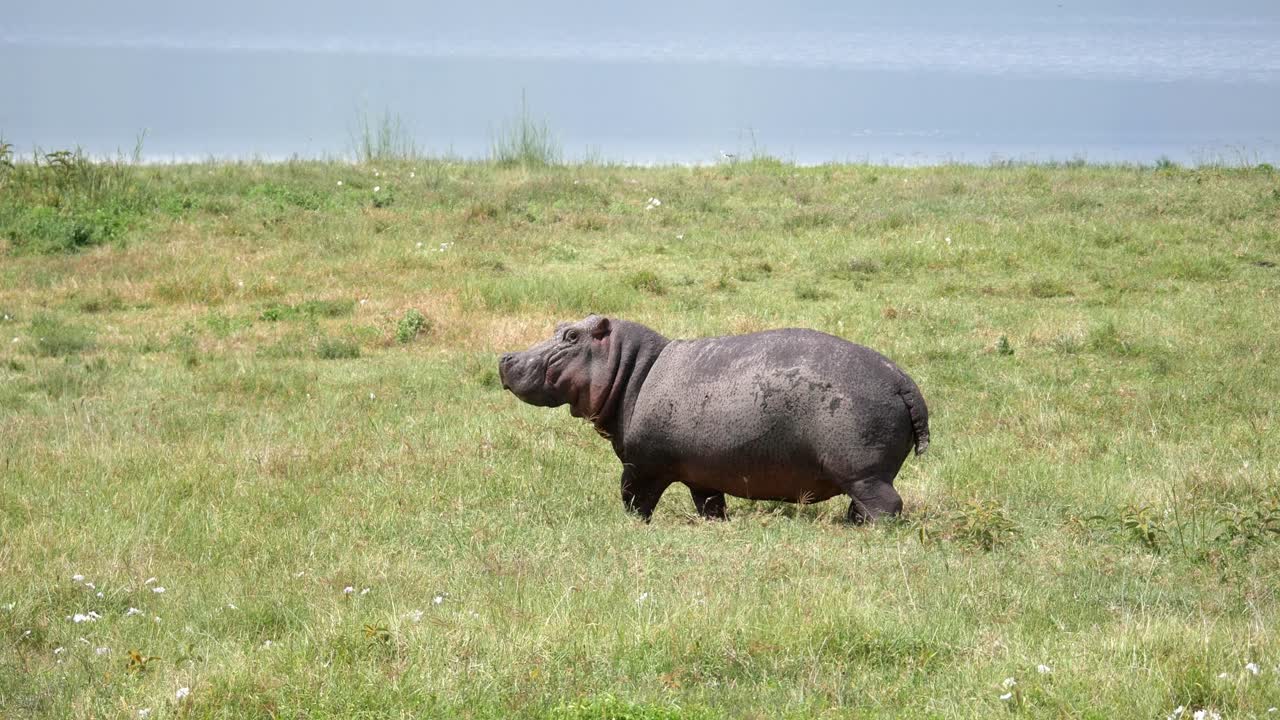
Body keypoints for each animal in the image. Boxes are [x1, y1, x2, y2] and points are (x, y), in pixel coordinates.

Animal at [498, 315, 929, 523]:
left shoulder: (641, 465)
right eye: (558, 327)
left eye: (571, 336)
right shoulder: (701, 474)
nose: (505, 357)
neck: (631, 369)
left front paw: (634, 524)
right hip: (862, 477)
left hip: (864, 472)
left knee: (886, 505)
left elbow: (633, 499)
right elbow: (710, 506)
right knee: (862, 506)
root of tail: (904, 382)